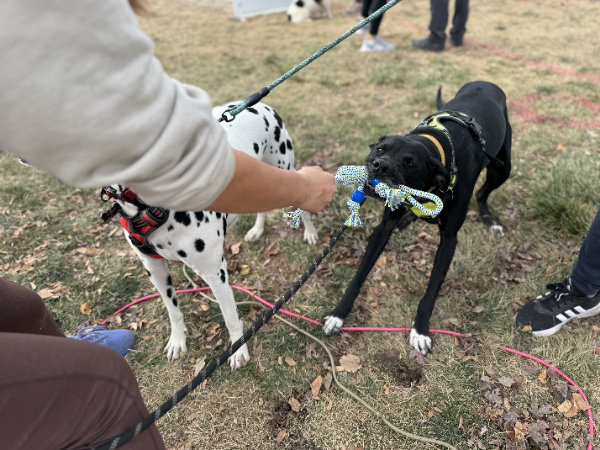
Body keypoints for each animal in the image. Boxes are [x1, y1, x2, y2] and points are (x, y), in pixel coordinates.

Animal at [109, 103, 316, 370]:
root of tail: (261, 105)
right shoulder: (155, 269)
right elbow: (173, 310)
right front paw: (178, 340)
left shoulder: (215, 273)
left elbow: (231, 318)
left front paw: (238, 351)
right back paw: (257, 230)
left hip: (284, 170)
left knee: (304, 203)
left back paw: (310, 232)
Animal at [322, 81, 512, 356]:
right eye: (380, 148)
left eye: (409, 162)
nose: (380, 166)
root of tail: (486, 83)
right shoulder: (383, 227)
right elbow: (360, 274)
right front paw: (338, 315)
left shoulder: (449, 240)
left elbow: (431, 290)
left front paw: (420, 331)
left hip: (502, 168)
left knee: (482, 193)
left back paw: (491, 220)